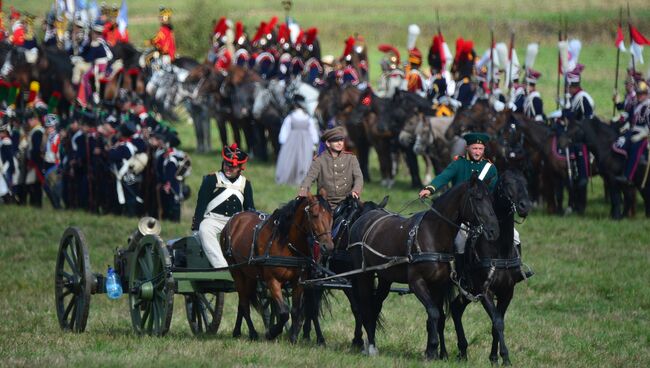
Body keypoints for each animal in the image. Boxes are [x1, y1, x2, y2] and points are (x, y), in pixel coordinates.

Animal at [220, 194, 334, 344]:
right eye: (315, 215)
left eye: (331, 216)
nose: (328, 246)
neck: (286, 243)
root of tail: (234, 219)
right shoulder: (272, 281)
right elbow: (284, 312)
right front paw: (272, 332)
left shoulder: (299, 282)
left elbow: (295, 310)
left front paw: (292, 338)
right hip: (236, 271)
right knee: (244, 302)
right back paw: (252, 333)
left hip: (250, 274)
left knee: (243, 300)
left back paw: (237, 332)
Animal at [346, 175, 498, 360]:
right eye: (477, 198)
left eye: (492, 199)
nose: (494, 230)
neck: (432, 234)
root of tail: (362, 218)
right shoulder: (417, 282)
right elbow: (433, 312)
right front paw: (432, 349)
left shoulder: (438, 284)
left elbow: (436, 316)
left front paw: (433, 352)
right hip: (364, 276)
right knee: (366, 307)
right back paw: (371, 347)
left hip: (384, 278)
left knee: (375, 305)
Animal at [450, 170, 532, 366]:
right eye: (506, 184)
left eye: (526, 183)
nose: (525, 206)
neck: (499, 248)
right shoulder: (484, 291)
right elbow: (497, 322)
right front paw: (506, 357)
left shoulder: (506, 292)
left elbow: (497, 323)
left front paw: (495, 358)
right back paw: (461, 351)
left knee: (456, 308)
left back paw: (462, 351)